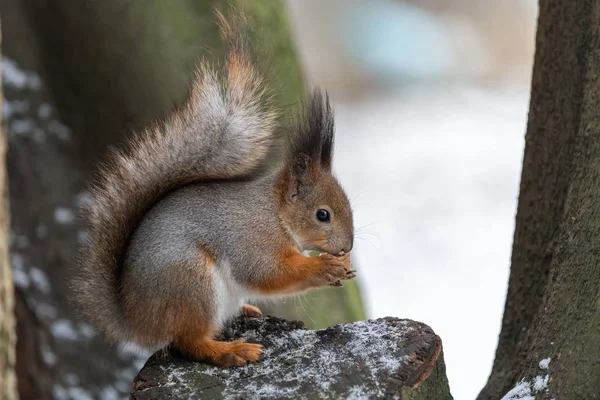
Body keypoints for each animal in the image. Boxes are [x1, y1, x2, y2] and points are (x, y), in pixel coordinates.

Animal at [74, 10, 356, 368]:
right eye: (323, 215)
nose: (347, 245)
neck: (276, 214)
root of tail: (136, 321)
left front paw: (339, 266)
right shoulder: (251, 240)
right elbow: (269, 272)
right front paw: (323, 266)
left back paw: (246, 311)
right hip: (191, 283)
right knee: (188, 343)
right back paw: (231, 350)